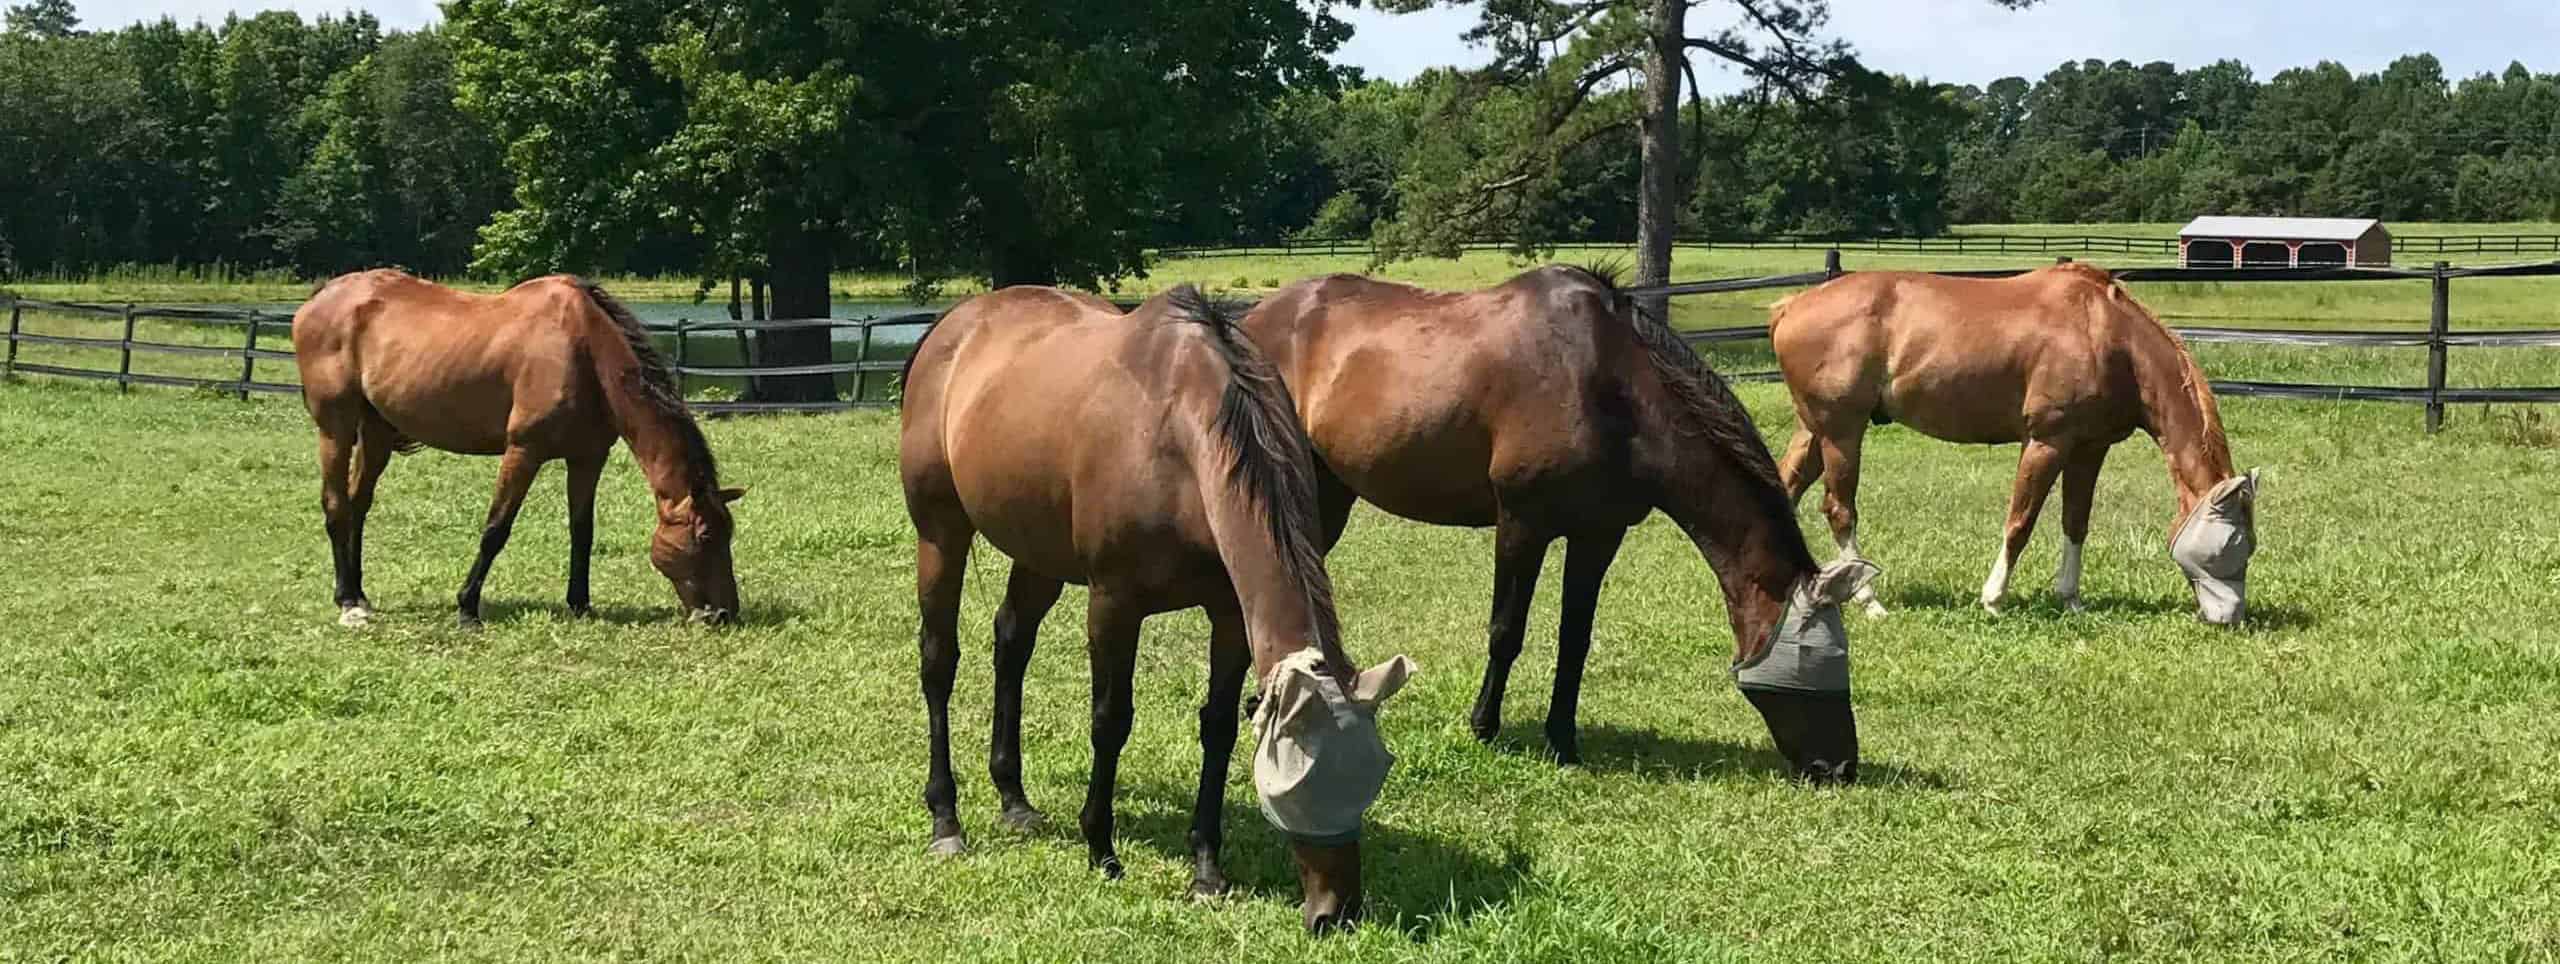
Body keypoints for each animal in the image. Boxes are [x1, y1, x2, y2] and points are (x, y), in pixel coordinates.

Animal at [296, 267, 747, 626]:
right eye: (705, 536)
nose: (724, 614)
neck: (584, 351)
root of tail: (320, 296)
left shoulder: (587, 458)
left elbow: (582, 530)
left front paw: (580, 604)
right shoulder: (524, 452)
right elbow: (496, 529)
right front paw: (467, 607)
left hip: (375, 431)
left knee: (358, 504)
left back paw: (360, 593)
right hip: (335, 428)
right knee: (336, 505)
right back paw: (347, 602)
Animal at [901, 281, 1423, 925]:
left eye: (1374, 776)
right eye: (1297, 787)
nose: (1338, 913)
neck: (1179, 437)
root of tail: (954, 325)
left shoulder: (1228, 615)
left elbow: (1218, 727)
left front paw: (1206, 867)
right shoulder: (1114, 604)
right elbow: (1110, 721)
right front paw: (1101, 848)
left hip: (1038, 552)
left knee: (1011, 644)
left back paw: (1013, 799)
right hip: (940, 534)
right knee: (938, 662)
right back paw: (946, 819)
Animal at [1244, 264, 1884, 782]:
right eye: (1817, 660)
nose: (1839, 766)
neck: (1610, 388)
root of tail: (1250, 319)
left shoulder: (1599, 534)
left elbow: (1575, 637)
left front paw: (1563, 739)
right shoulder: (1522, 524)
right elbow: (1506, 631)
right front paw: (1484, 725)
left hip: (1329, 493)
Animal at [1761, 260, 2263, 623]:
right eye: (2230, 543)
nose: (2231, 617)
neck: (2108, 336)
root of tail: (1791, 305)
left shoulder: (2089, 448)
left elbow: (2075, 522)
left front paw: (2071, 600)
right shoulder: (2047, 442)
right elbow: (2020, 522)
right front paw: (1993, 598)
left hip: (1814, 431)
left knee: (1785, 490)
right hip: (1842, 432)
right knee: (1839, 510)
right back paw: (1869, 601)